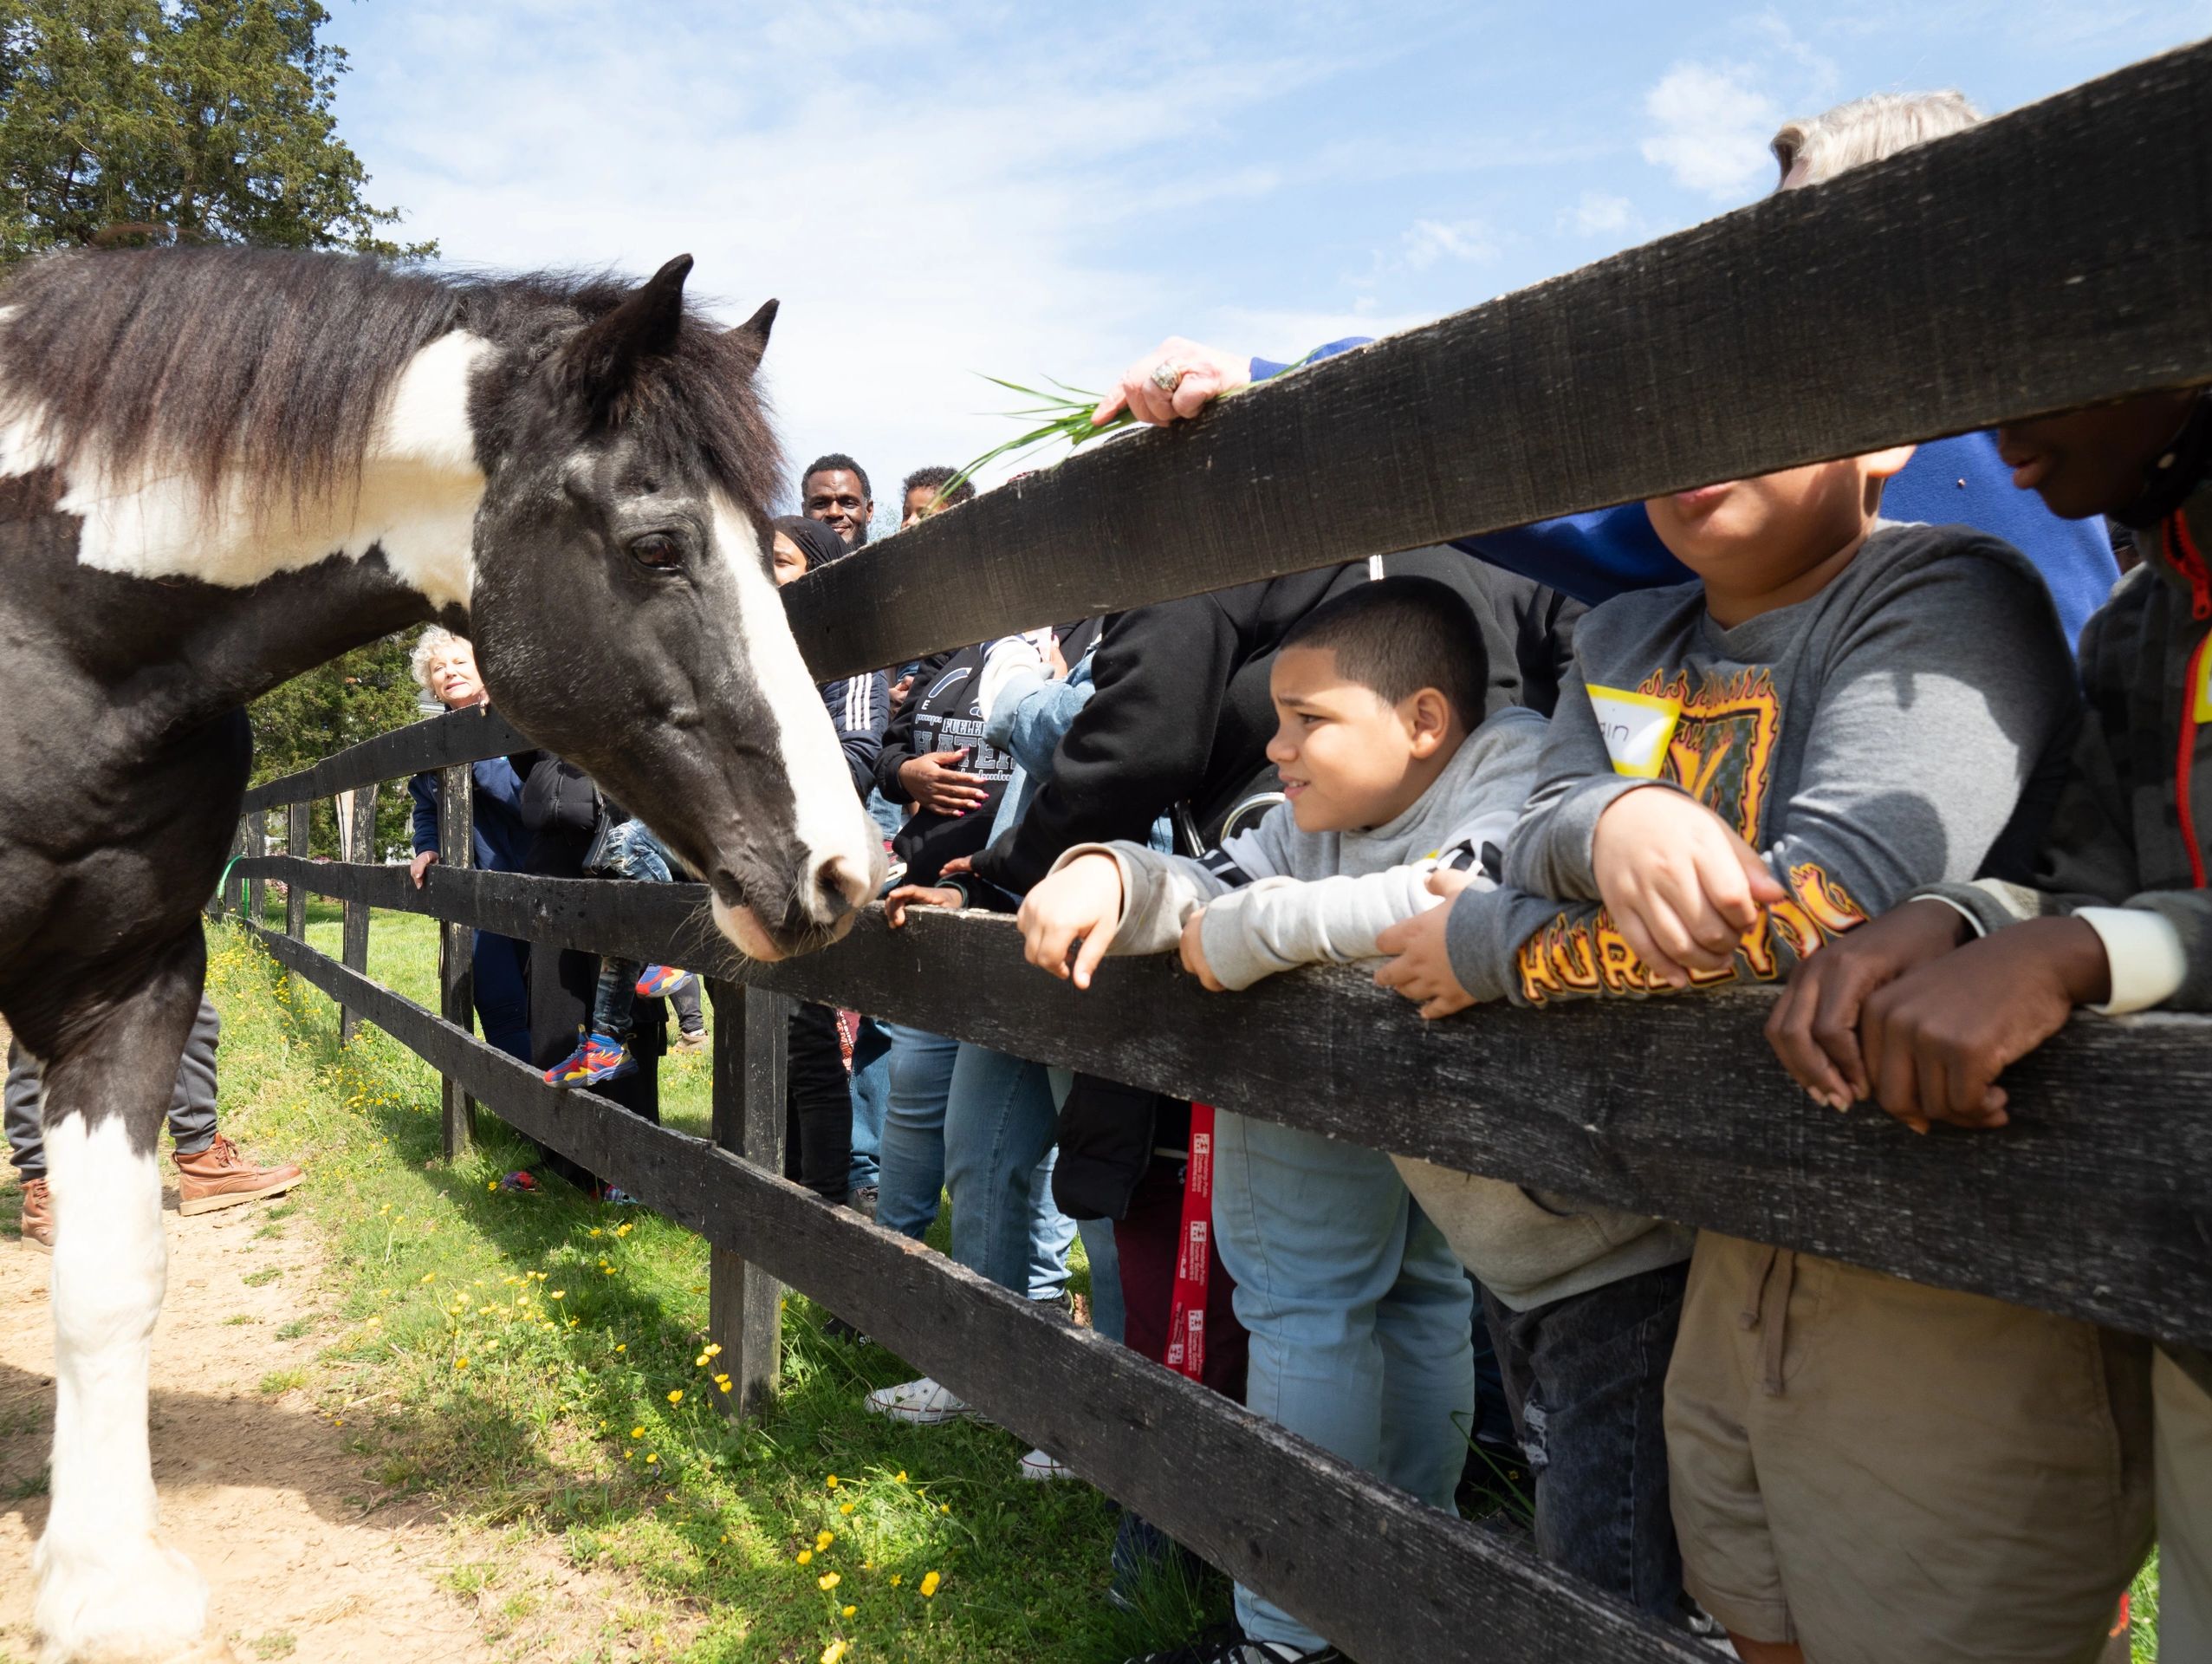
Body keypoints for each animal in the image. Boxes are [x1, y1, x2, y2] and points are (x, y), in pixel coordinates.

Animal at [0, 246, 886, 1662]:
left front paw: (103, 1581)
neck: (50, 623)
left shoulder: (125, 985)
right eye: (656, 545)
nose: (843, 872)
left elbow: (111, 1275)